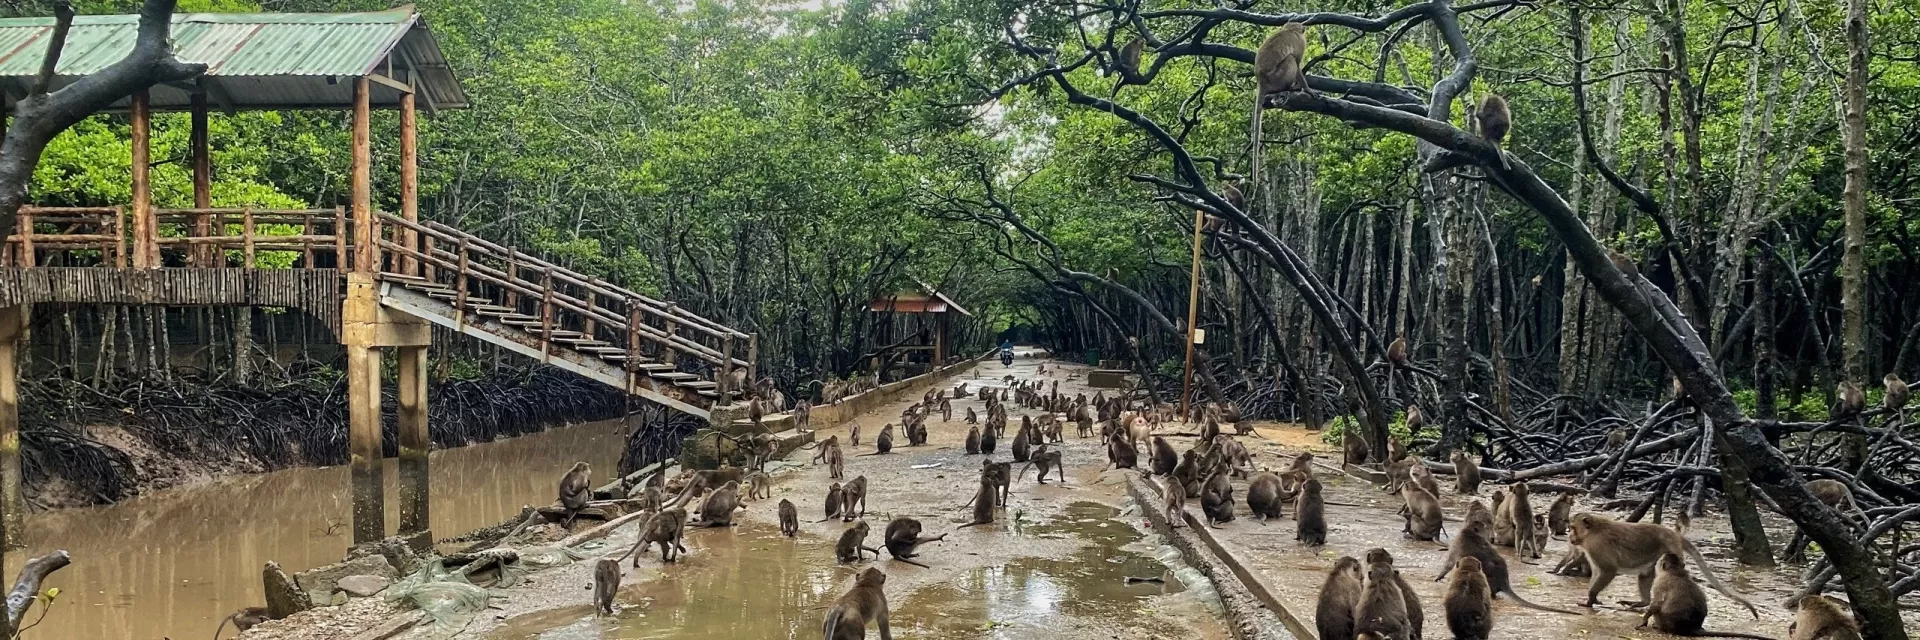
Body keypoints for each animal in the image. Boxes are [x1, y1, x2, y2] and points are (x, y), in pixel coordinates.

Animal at [1434, 519, 1582, 614]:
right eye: (1483, 527)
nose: (1488, 531)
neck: (1469, 531)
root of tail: (1503, 582)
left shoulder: (1456, 543)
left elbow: (1449, 563)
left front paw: (1438, 577)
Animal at [1566, 512, 1759, 618]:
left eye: (1573, 528)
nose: (1570, 537)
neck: (1592, 531)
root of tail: (1675, 534)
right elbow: (1599, 571)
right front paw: (1591, 598)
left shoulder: (1597, 546)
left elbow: (1608, 570)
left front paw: (1591, 598)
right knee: (1646, 573)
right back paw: (1643, 602)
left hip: (1672, 548)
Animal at [1639, 553, 1778, 640]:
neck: (1675, 571)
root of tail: (1692, 628)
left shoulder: (1659, 583)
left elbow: (1656, 603)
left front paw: (1643, 622)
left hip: (1666, 622)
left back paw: (1658, 626)